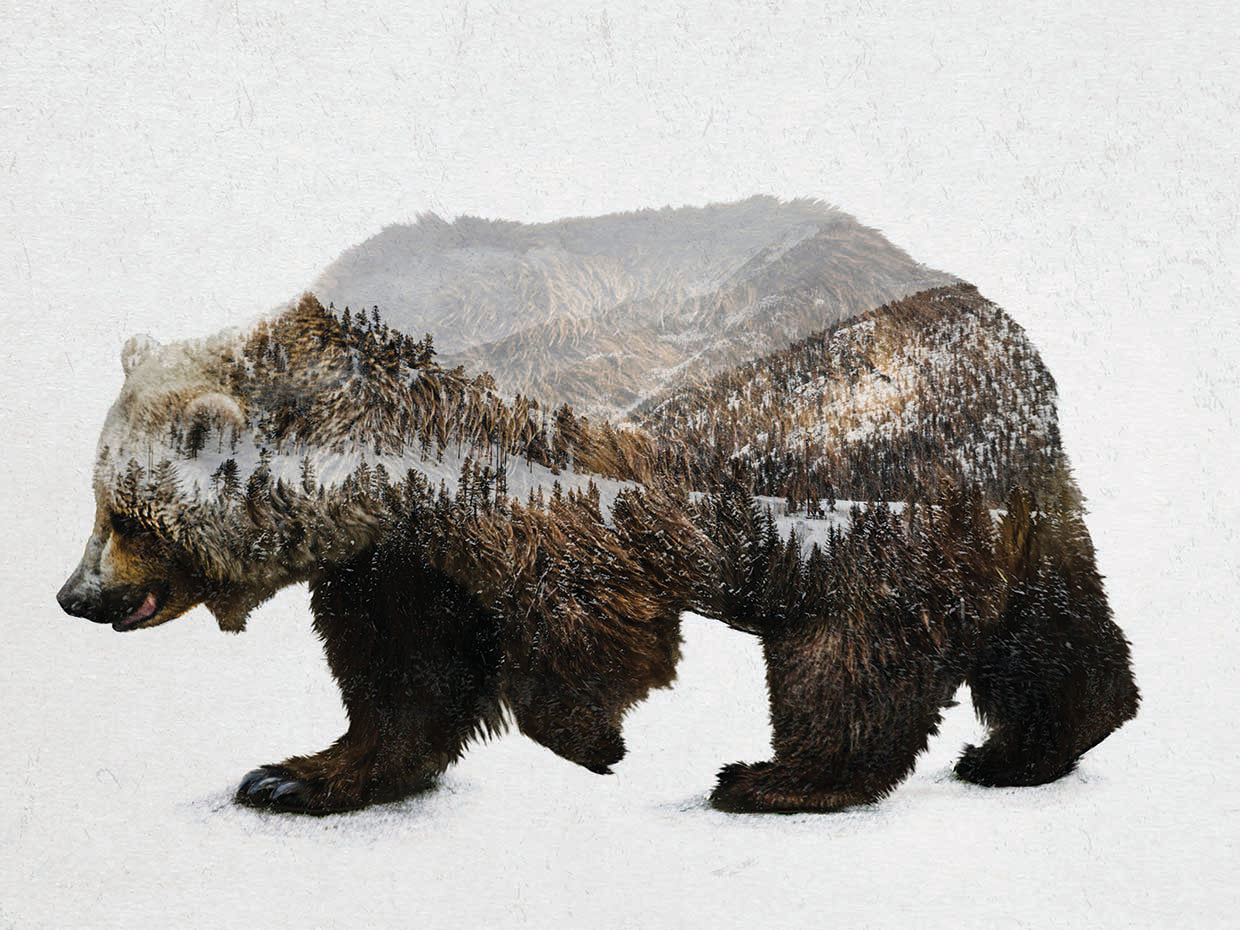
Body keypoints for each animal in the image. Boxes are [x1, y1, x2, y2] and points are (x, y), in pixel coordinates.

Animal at [58, 200, 1138, 814]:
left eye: (129, 516)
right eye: (98, 502)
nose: (75, 595)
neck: (381, 442)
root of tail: (1011, 349)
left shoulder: (532, 468)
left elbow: (581, 615)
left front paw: (593, 741)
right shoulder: (400, 548)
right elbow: (401, 669)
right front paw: (296, 775)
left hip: (851, 459)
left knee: (856, 637)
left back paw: (780, 778)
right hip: (1007, 499)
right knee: (1051, 623)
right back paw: (1032, 747)